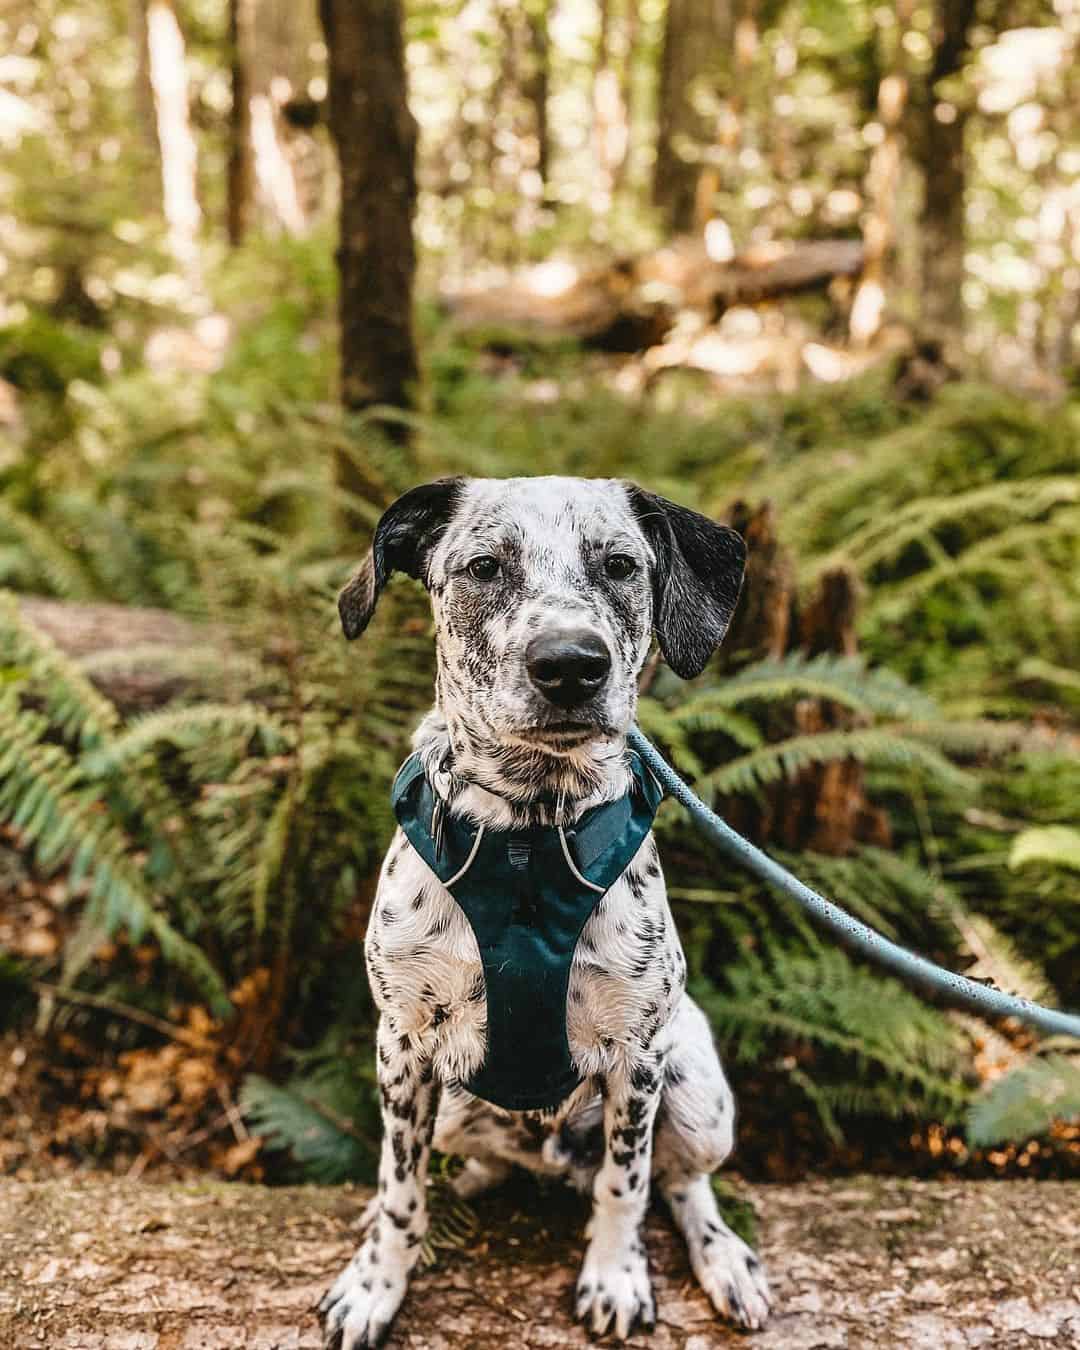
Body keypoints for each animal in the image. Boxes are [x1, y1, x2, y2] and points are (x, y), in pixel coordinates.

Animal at [315, 480, 772, 1350]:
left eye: (621, 564)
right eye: (484, 567)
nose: (570, 666)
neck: (528, 838)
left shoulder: (637, 1055)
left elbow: (627, 1185)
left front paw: (616, 1277)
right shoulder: (402, 1044)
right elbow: (399, 1191)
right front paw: (375, 1284)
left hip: (697, 1091)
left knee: (680, 1182)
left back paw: (724, 1258)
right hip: (452, 1103)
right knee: (460, 1161)